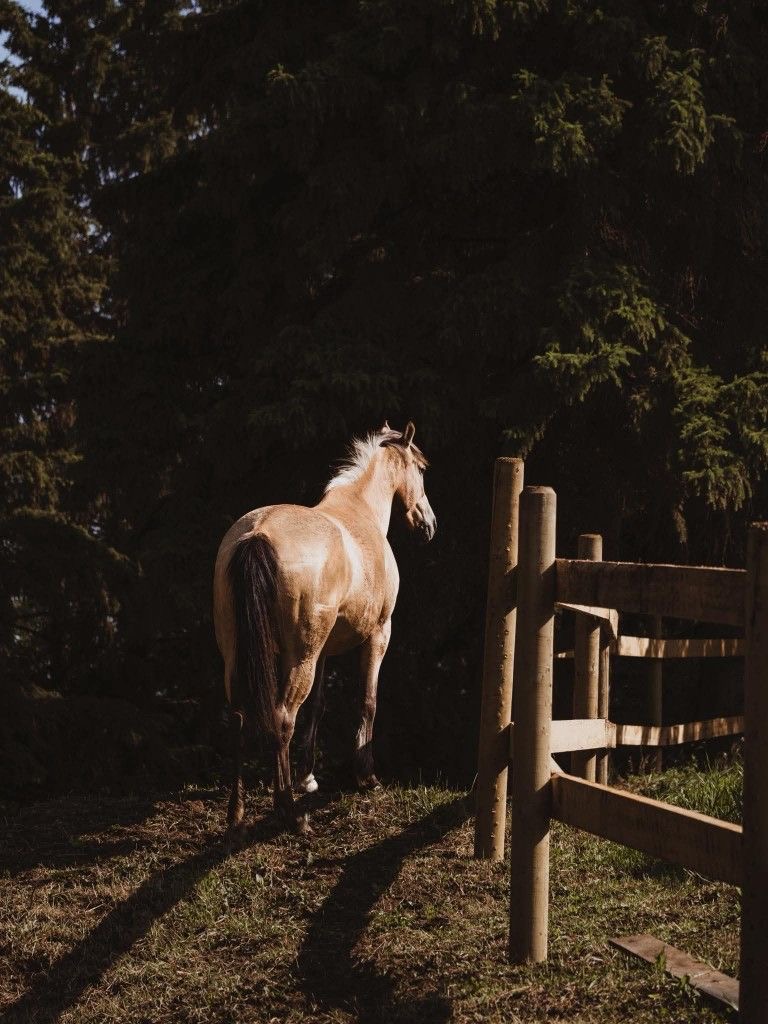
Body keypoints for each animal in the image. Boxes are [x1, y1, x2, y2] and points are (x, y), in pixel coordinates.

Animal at [212, 421, 436, 834]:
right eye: (421, 469)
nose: (429, 523)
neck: (360, 511)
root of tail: (258, 534)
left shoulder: (325, 650)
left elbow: (318, 705)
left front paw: (308, 776)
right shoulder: (380, 633)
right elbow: (368, 700)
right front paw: (366, 776)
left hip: (240, 654)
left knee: (238, 715)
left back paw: (236, 814)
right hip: (300, 656)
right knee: (282, 717)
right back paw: (289, 813)